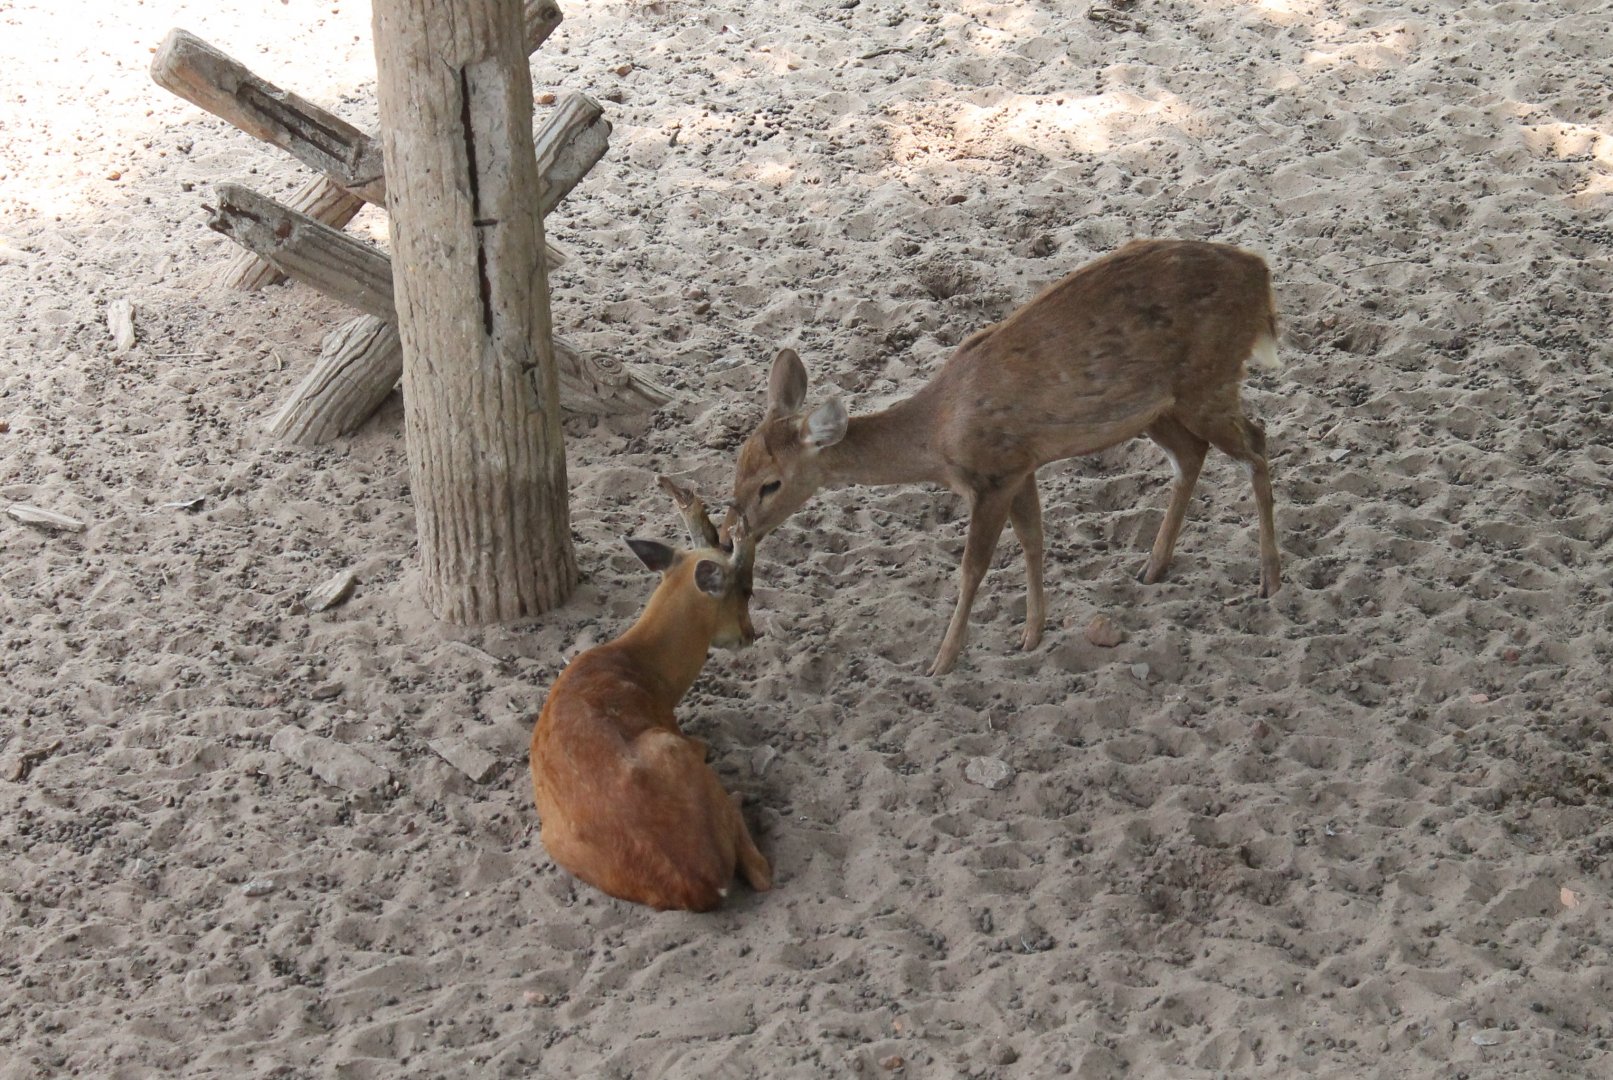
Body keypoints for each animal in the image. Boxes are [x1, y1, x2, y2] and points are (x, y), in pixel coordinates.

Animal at [529, 477, 772, 912]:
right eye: (746, 590)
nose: (750, 634)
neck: (648, 674)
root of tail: (703, 883)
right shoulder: (682, 736)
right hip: (669, 747)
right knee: (762, 875)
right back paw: (743, 797)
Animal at [725, 238, 1282, 676]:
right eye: (737, 466)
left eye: (771, 483)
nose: (735, 531)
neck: (939, 434)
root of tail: (1261, 275)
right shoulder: (1021, 465)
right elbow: (1034, 540)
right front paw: (1032, 634)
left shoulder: (992, 474)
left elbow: (973, 566)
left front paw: (941, 661)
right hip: (1157, 406)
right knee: (1193, 454)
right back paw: (1153, 567)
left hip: (1208, 380)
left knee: (1257, 443)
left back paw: (1270, 580)